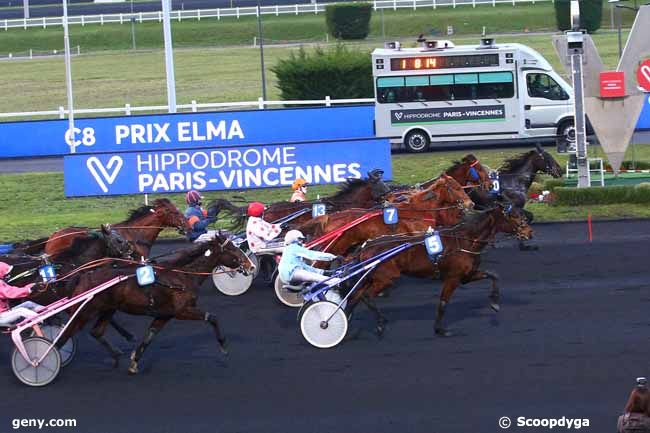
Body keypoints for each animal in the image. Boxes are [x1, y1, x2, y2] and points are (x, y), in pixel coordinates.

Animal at [55, 233, 254, 374]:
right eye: (233, 250)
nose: (251, 266)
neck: (183, 275)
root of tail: (84, 275)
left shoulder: (164, 315)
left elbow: (149, 336)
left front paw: (134, 362)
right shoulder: (182, 311)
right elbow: (212, 317)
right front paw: (223, 346)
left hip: (107, 309)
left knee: (96, 332)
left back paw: (115, 356)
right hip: (84, 312)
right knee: (65, 334)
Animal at [344, 206, 532, 338]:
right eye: (515, 216)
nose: (529, 233)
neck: (466, 241)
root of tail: (366, 246)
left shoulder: (466, 276)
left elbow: (493, 275)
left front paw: (494, 303)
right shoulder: (453, 278)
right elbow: (443, 304)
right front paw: (440, 330)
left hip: (371, 277)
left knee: (355, 296)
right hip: (387, 278)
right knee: (367, 296)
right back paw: (380, 323)